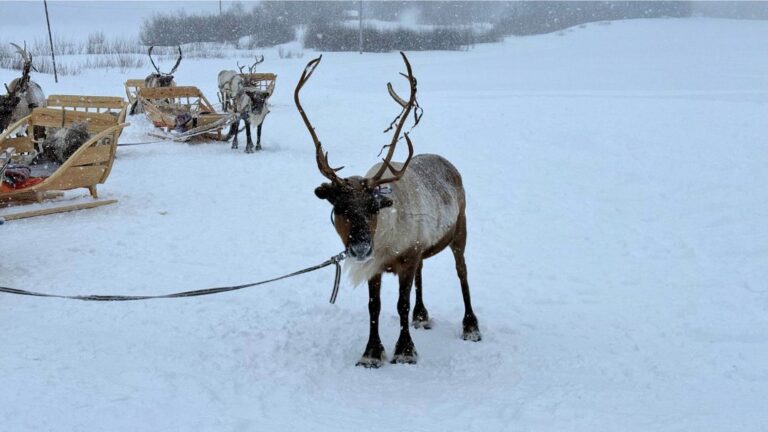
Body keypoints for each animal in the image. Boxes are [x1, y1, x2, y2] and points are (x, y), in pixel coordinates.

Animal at [295, 52, 481, 368]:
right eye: (340, 207)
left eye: (373, 207)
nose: (359, 248)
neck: (385, 240)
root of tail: (448, 163)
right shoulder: (378, 265)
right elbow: (375, 306)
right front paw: (372, 352)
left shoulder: (407, 256)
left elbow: (400, 304)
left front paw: (405, 350)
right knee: (422, 274)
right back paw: (422, 315)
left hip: (460, 230)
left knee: (462, 273)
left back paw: (470, 326)